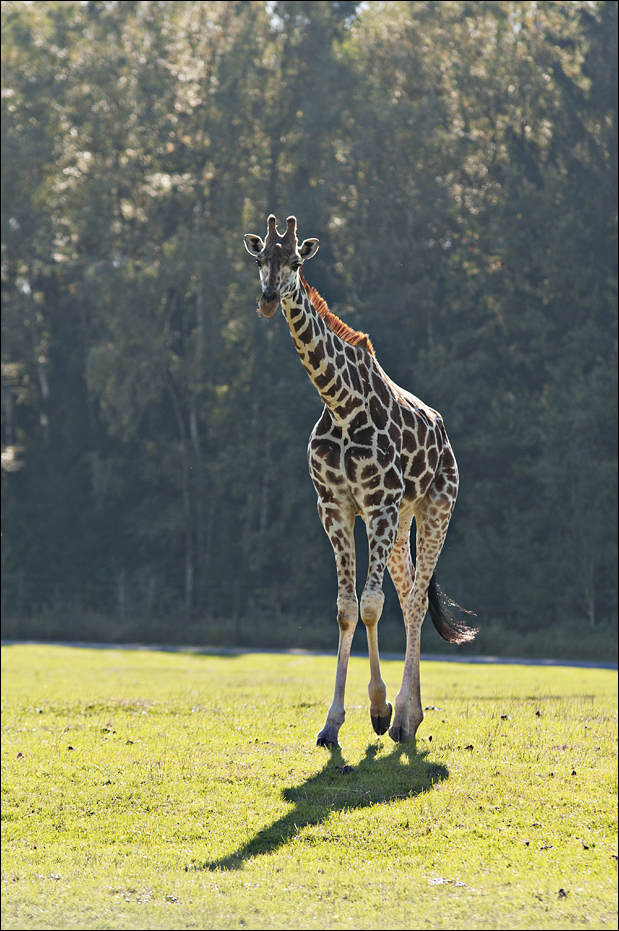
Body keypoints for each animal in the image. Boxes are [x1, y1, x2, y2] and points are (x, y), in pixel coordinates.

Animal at [244, 214, 478, 747]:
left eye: (296, 261)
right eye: (260, 257)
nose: (268, 298)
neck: (341, 404)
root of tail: (444, 434)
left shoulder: (379, 504)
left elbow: (371, 605)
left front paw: (379, 708)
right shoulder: (335, 505)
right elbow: (346, 609)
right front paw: (334, 722)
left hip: (435, 507)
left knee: (416, 600)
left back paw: (407, 717)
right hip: (398, 522)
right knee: (410, 592)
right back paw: (410, 713)